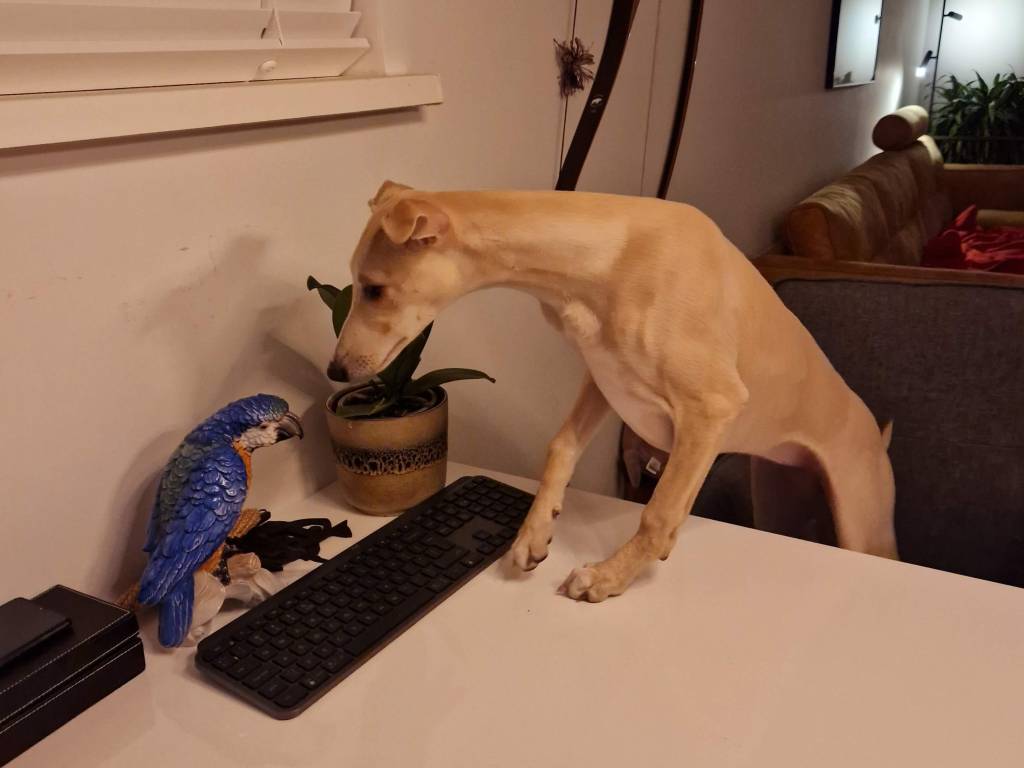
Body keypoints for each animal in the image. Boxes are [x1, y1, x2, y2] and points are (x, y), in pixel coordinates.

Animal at [327, 181, 898, 602]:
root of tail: (878, 436)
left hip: (865, 525)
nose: (335, 369)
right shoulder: (603, 382)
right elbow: (560, 448)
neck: (611, 254)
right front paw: (534, 535)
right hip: (780, 496)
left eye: (373, 288)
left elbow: (660, 513)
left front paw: (606, 578)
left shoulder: (710, 408)